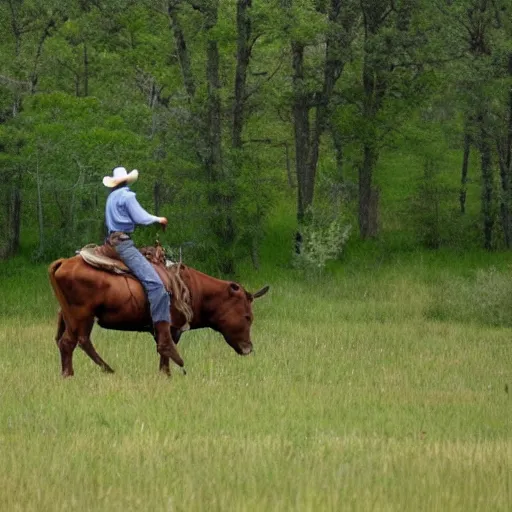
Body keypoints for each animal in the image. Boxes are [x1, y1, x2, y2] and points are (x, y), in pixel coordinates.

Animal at [50, 255, 270, 378]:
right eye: (247, 316)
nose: (248, 348)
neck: (193, 288)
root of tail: (63, 263)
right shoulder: (171, 328)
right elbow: (166, 350)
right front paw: (167, 374)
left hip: (73, 318)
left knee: (75, 342)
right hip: (81, 317)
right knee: (70, 342)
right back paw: (72, 374)